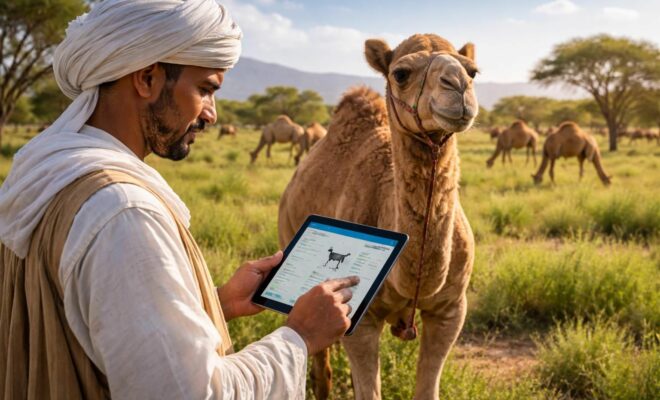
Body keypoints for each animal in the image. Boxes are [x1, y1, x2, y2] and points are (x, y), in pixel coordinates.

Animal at [278, 34, 479, 400]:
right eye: (401, 73)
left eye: (473, 70)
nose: (458, 85)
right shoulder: (363, 319)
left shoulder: (451, 310)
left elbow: (427, 389)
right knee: (319, 360)